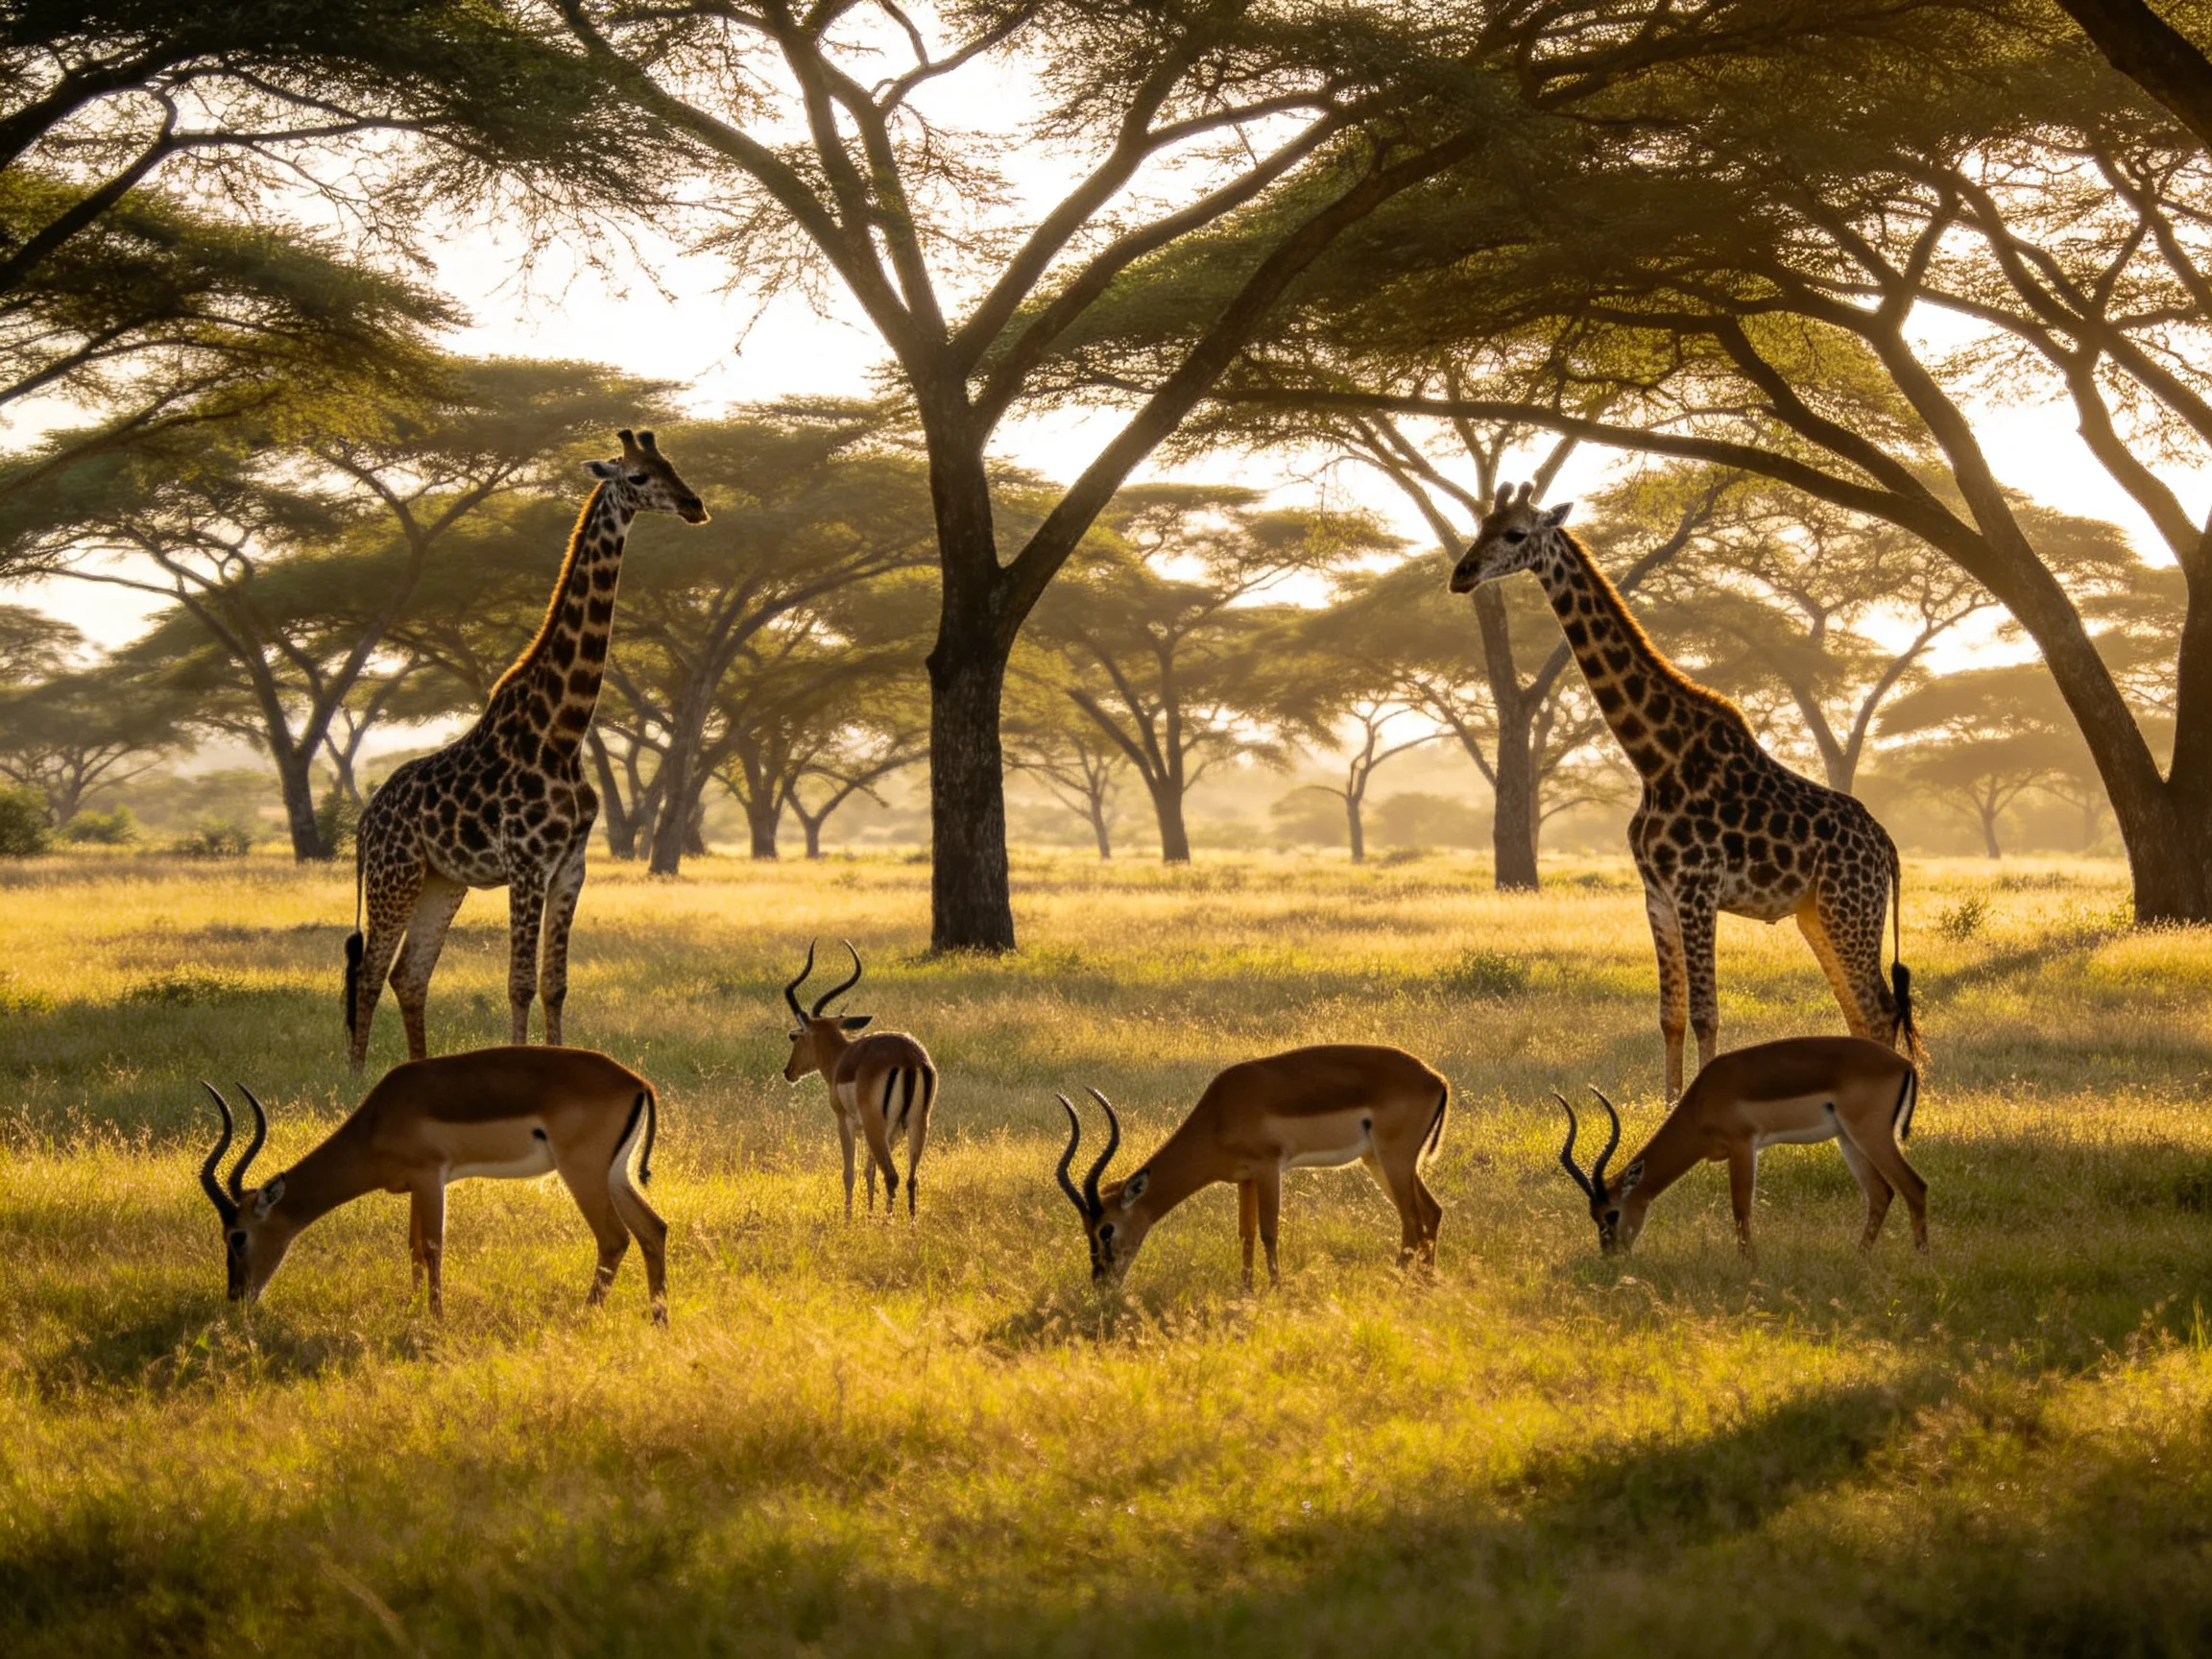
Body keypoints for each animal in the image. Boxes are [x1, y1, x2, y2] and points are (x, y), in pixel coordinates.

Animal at [344, 429, 708, 1072]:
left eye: (671, 463)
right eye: (638, 476)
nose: (695, 505)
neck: (561, 732)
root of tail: (366, 821)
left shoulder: (571, 867)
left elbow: (553, 983)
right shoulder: (526, 863)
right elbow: (517, 983)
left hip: (442, 880)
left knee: (409, 975)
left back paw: (416, 1072)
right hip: (396, 875)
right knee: (368, 974)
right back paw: (357, 1078)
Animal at [1448, 483, 1917, 1098]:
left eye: (1516, 533)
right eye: (1481, 525)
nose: (1461, 574)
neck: (1655, 759)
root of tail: (1887, 847)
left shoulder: (1697, 887)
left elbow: (1705, 1014)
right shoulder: (1657, 894)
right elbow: (1669, 1017)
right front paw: (1665, 1110)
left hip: (1850, 907)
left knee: (1880, 1008)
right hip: (1817, 914)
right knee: (1861, 1010)